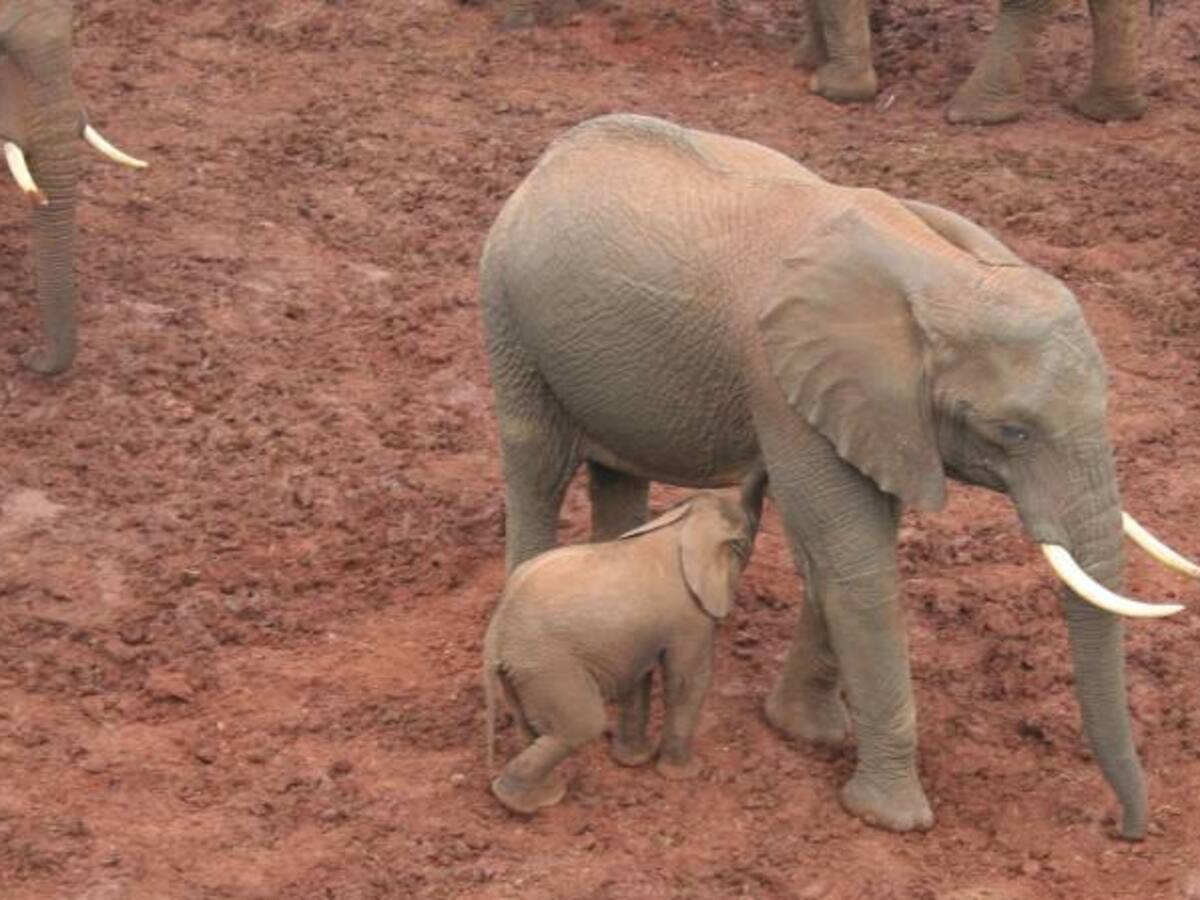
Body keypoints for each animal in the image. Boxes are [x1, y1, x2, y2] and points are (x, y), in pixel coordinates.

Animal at [483, 470, 767, 814]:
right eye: (746, 540)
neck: (680, 525)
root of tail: (496, 635)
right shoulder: (691, 617)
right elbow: (688, 680)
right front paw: (683, 776)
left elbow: (638, 678)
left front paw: (633, 762)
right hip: (549, 667)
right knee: (580, 726)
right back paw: (524, 804)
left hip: (523, 671)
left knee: (533, 727)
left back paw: (537, 795)